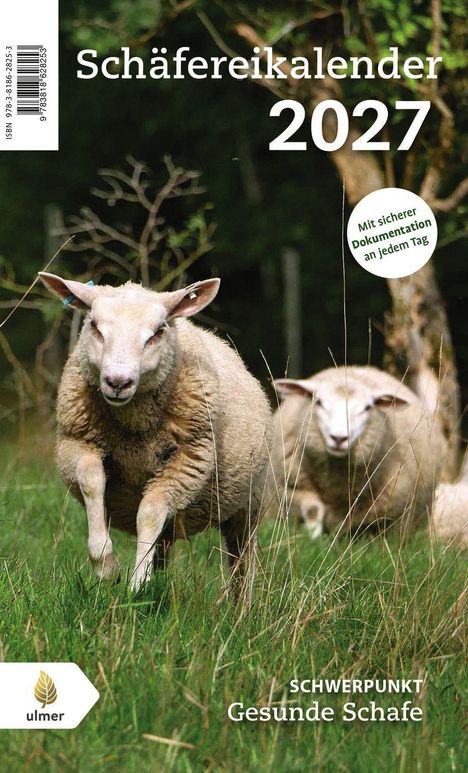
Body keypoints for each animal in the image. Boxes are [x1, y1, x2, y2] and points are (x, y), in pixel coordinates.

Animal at [38, 272, 271, 595]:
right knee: (164, 543)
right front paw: (106, 566)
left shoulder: (188, 462)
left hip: (249, 502)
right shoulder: (78, 442)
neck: (133, 426)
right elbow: (91, 482)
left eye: (158, 331)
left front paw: (137, 582)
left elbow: (150, 511)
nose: (118, 382)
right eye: (94, 326)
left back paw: (241, 604)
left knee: (243, 560)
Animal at [269, 365, 447, 539]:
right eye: (318, 402)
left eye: (367, 407)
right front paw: (313, 538)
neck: (335, 485)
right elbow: (313, 511)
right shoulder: (294, 487)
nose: (339, 438)